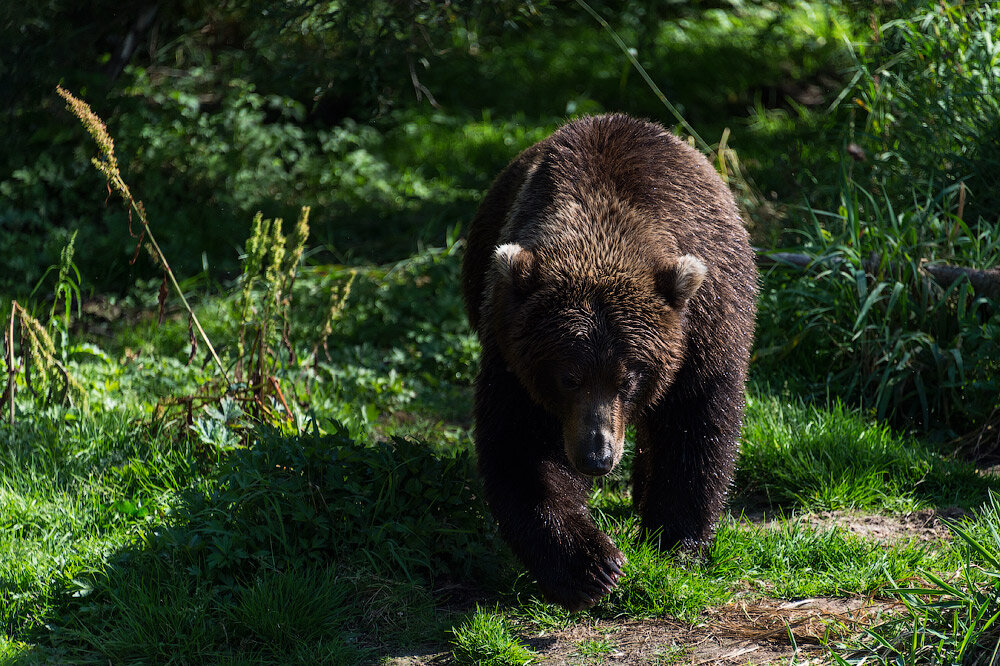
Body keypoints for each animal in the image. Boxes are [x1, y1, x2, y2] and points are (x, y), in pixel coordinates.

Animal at [460, 113, 756, 608]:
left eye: (629, 377)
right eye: (568, 377)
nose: (596, 455)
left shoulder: (702, 334)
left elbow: (697, 429)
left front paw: (675, 541)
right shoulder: (511, 352)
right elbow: (522, 449)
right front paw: (590, 566)